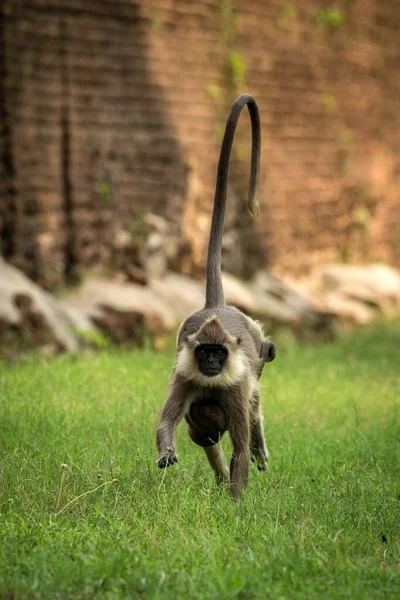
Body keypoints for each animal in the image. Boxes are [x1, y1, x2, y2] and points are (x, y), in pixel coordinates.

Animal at [155, 92, 276, 496]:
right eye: (204, 352)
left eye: (217, 353)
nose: (209, 361)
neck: (211, 385)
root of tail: (217, 306)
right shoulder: (186, 376)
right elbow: (167, 424)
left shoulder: (235, 387)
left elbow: (239, 445)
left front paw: (236, 502)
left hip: (255, 342)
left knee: (258, 385)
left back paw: (259, 444)